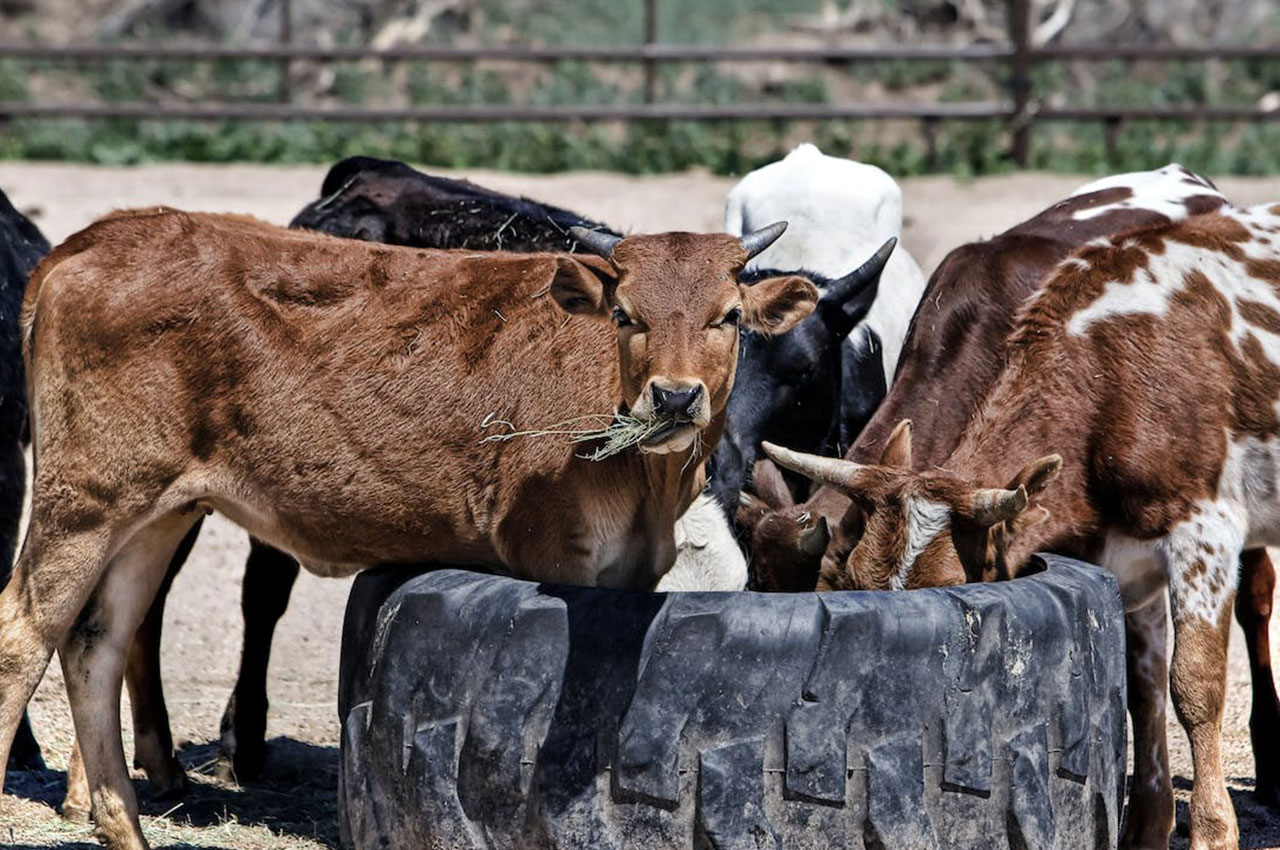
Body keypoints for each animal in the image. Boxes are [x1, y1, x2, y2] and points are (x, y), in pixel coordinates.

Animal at [0, 207, 819, 850]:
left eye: (729, 317)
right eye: (627, 315)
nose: (674, 397)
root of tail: (95, 240)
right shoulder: (553, 556)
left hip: (155, 513)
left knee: (98, 644)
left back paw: (126, 827)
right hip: (86, 501)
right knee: (24, 633)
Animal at [757, 206, 1280, 850]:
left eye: (951, 592)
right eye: (852, 583)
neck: (1109, 376)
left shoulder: (1204, 534)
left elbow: (1194, 687)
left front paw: (1210, 830)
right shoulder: (1126, 562)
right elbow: (1143, 687)